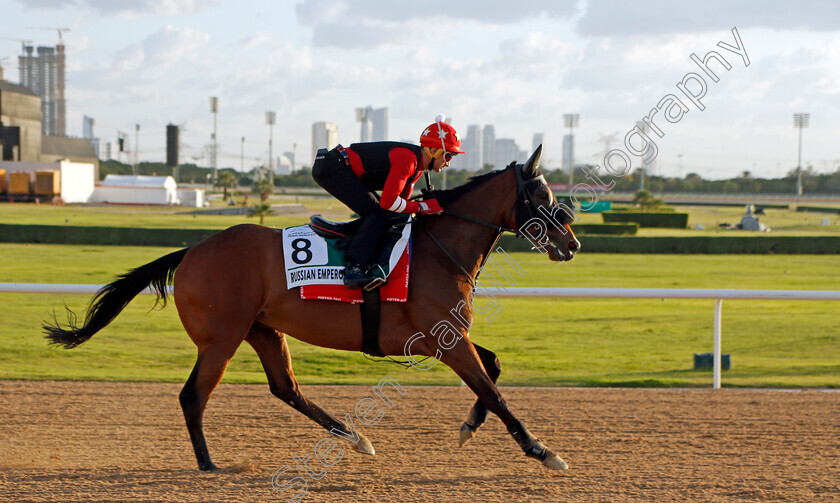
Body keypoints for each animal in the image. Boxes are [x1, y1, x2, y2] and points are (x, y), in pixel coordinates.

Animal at [44, 145, 576, 472]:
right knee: (193, 397)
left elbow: (494, 368)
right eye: (542, 196)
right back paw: (209, 463)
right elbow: (495, 392)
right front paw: (543, 451)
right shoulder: (444, 340)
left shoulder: (444, 336)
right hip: (221, 340)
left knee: (287, 389)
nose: (571, 244)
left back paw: (355, 438)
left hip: (264, 330)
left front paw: (468, 427)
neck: (440, 248)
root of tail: (192, 250)